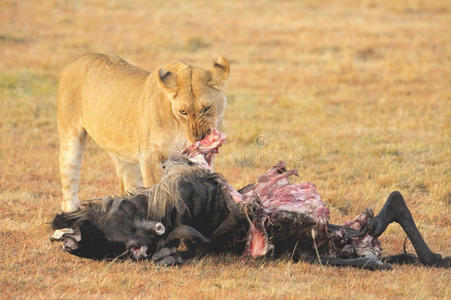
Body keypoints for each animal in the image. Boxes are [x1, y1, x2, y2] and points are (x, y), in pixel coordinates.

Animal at [57, 54, 231, 213]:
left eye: (207, 108)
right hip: (70, 137)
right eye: (183, 112)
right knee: (68, 176)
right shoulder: (149, 157)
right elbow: (157, 190)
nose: (198, 138)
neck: (179, 128)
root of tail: (76, 60)